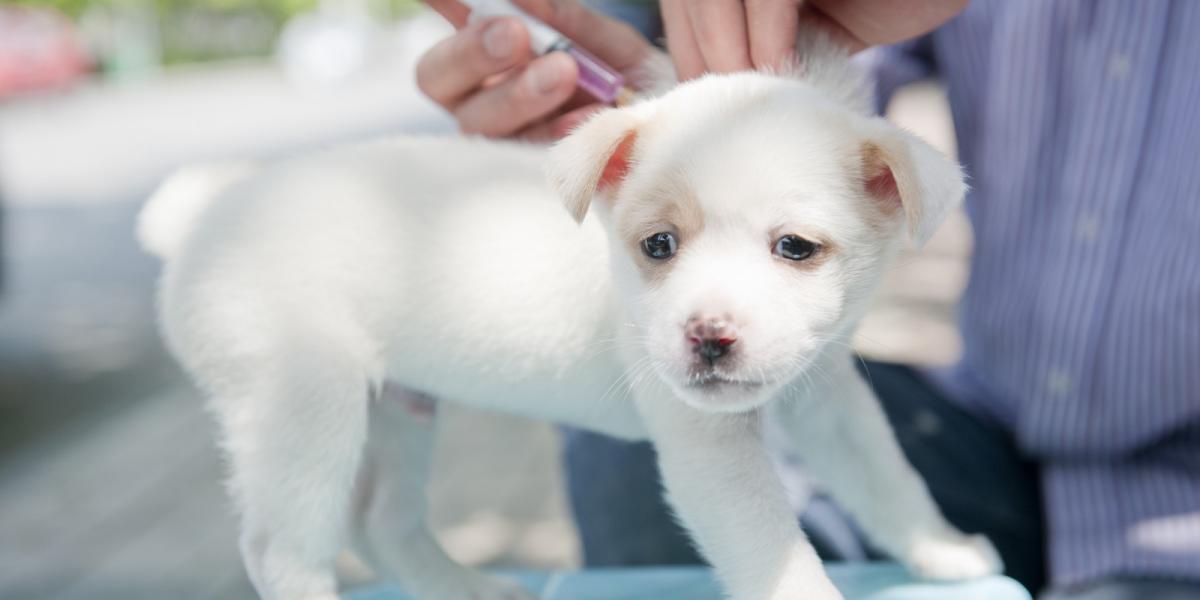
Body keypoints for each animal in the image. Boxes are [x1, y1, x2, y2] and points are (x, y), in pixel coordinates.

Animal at [140, 39, 1003, 597]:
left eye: (794, 247)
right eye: (659, 244)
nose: (707, 338)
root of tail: (205, 218)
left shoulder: (830, 401)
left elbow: (887, 479)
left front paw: (941, 550)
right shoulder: (711, 452)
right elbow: (778, 556)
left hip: (396, 413)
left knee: (381, 525)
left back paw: (467, 590)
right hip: (302, 410)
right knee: (283, 551)